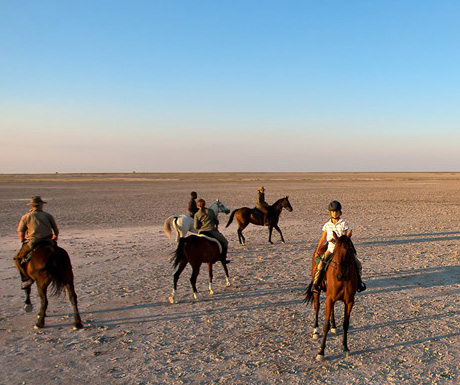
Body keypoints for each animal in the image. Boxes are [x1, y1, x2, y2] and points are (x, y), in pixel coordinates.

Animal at [306, 231, 360, 360]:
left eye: (348, 249)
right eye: (335, 251)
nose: (339, 275)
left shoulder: (349, 301)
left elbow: (346, 324)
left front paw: (345, 347)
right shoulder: (330, 299)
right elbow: (325, 325)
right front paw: (321, 352)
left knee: (332, 310)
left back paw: (334, 326)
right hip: (317, 291)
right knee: (317, 307)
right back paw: (316, 331)